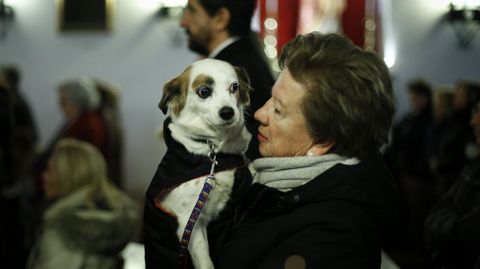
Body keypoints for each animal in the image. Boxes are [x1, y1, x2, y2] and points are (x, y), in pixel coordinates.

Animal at [156, 59, 253, 268]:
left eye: (234, 87)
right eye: (204, 91)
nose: (228, 112)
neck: (215, 151)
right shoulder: (189, 223)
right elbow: (206, 263)